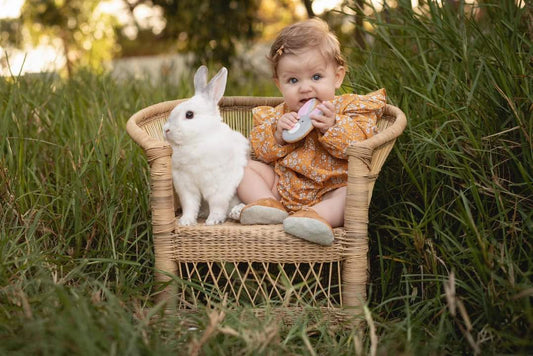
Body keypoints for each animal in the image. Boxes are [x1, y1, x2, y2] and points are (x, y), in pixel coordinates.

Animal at [162, 66, 249, 225]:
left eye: (189, 114)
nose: (166, 130)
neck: (197, 142)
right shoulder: (186, 187)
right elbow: (189, 206)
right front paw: (185, 221)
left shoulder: (219, 187)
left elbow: (217, 205)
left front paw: (213, 221)